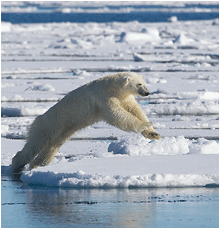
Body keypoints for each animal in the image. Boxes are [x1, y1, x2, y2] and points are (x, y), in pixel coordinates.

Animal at [10, 72, 162, 176]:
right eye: (139, 84)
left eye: (144, 83)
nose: (147, 93)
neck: (112, 86)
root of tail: (38, 119)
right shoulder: (103, 97)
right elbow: (117, 115)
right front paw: (144, 125)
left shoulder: (124, 97)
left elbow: (136, 110)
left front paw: (153, 133)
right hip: (49, 125)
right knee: (35, 144)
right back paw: (17, 164)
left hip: (64, 129)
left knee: (53, 145)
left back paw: (39, 164)